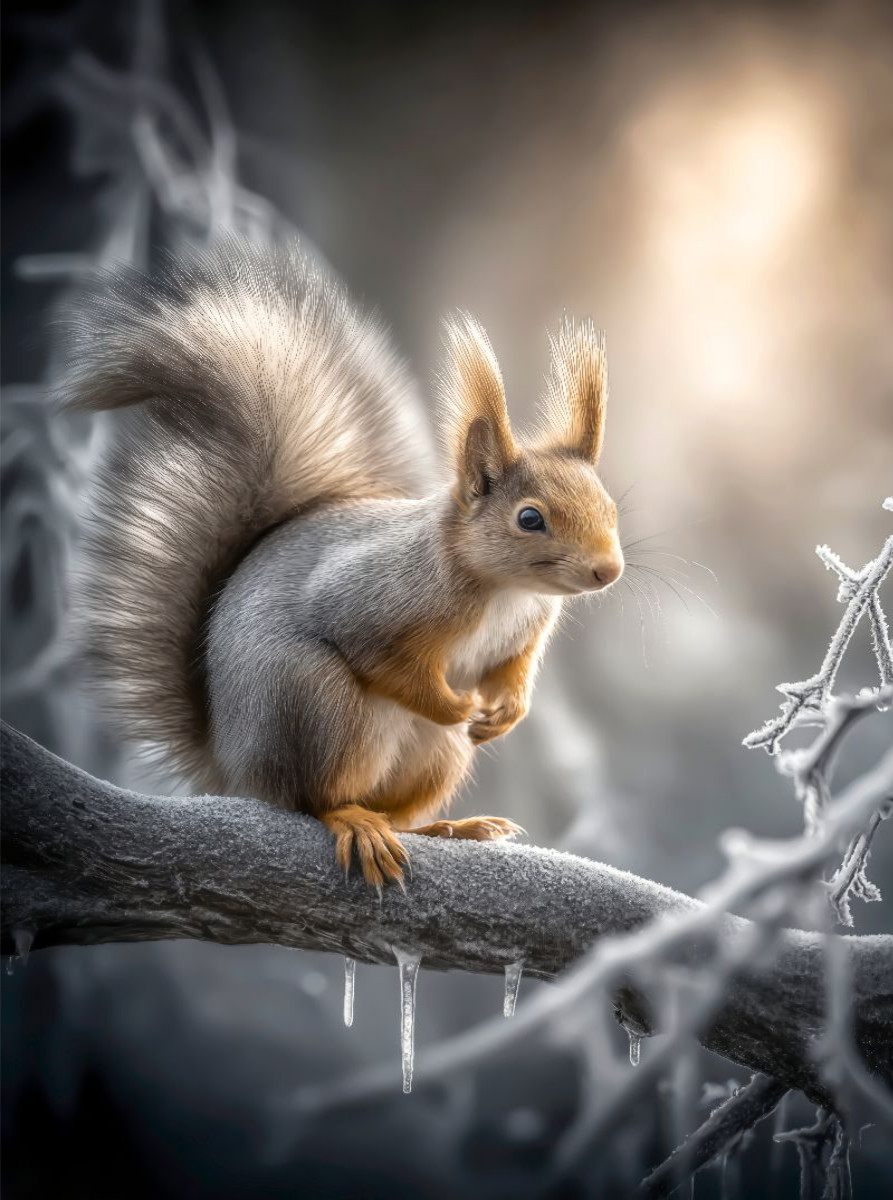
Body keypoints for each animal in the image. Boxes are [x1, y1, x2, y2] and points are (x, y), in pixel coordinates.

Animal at [65, 236, 624, 887]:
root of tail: (234, 771)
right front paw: (457, 704)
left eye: (610, 505)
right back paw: (356, 822)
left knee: (399, 810)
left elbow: (513, 668)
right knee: (316, 799)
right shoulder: (374, 598)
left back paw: (449, 827)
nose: (607, 571)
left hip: (434, 755)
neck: (505, 588)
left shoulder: (526, 632)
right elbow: (382, 657)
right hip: (317, 706)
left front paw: (506, 712)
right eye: (530, 519)